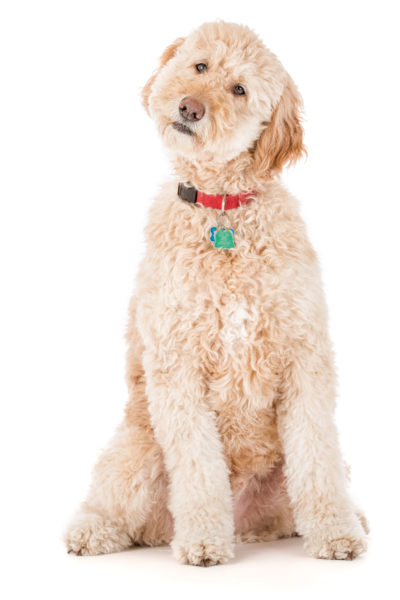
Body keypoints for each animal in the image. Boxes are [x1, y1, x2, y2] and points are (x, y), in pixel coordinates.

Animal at [65, 21, 368, 564]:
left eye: (240, 89)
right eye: (200, 65)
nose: (189, 107)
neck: (223, 209)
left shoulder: (303, 355)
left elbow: (319, 460)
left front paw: (337, 533)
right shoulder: (177, 365)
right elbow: (198, 467)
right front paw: (204, 541)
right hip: (137, 449)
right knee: (112, 504)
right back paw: (93, 532)